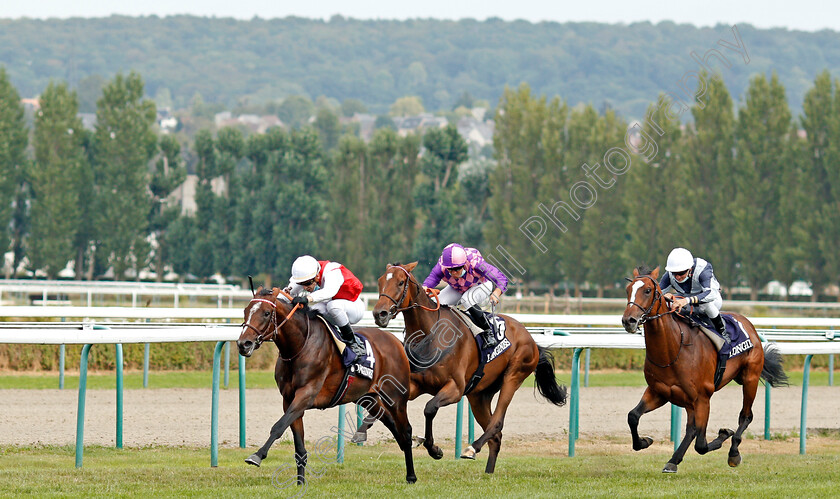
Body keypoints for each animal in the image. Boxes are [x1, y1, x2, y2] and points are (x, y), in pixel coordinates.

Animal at [236, 288, 416, 486]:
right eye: (245, 311)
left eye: (267, 313)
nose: (243, 344)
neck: (300, 346)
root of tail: (396, 341)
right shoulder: (289, 399)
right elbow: (299, 446)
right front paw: (300, 483)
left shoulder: (306, 394)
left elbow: (278, 426)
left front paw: (257, 455)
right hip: (369, 397)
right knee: (392, 425)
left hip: (396, 398)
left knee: (406, 431)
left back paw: (411, 475)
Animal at [364, 264, 568, 474]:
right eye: (380, 281)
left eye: (400, 282)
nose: (379, 313)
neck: (430, 333)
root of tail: (531, 338)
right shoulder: (414, 385)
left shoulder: (455, 388)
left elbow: (429, 408)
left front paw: (434, 449)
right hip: (479, 395)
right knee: (496, 437)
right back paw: (488, 472)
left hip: (514, 375)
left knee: (497, 423)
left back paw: (472, 448)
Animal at [620, 266, 792, 472]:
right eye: (628, 289)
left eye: (647, 290)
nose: (628, 320)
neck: (673, 348)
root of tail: (748, 324)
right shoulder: (659, 392)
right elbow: (633, 416)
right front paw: (644, 441)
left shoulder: (702, 398)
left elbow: (701, 445)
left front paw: (724, 435)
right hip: (688, 401)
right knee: (691, 429)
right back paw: (673, 460)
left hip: (750, 378)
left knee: (745, 416)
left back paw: (733, 452)